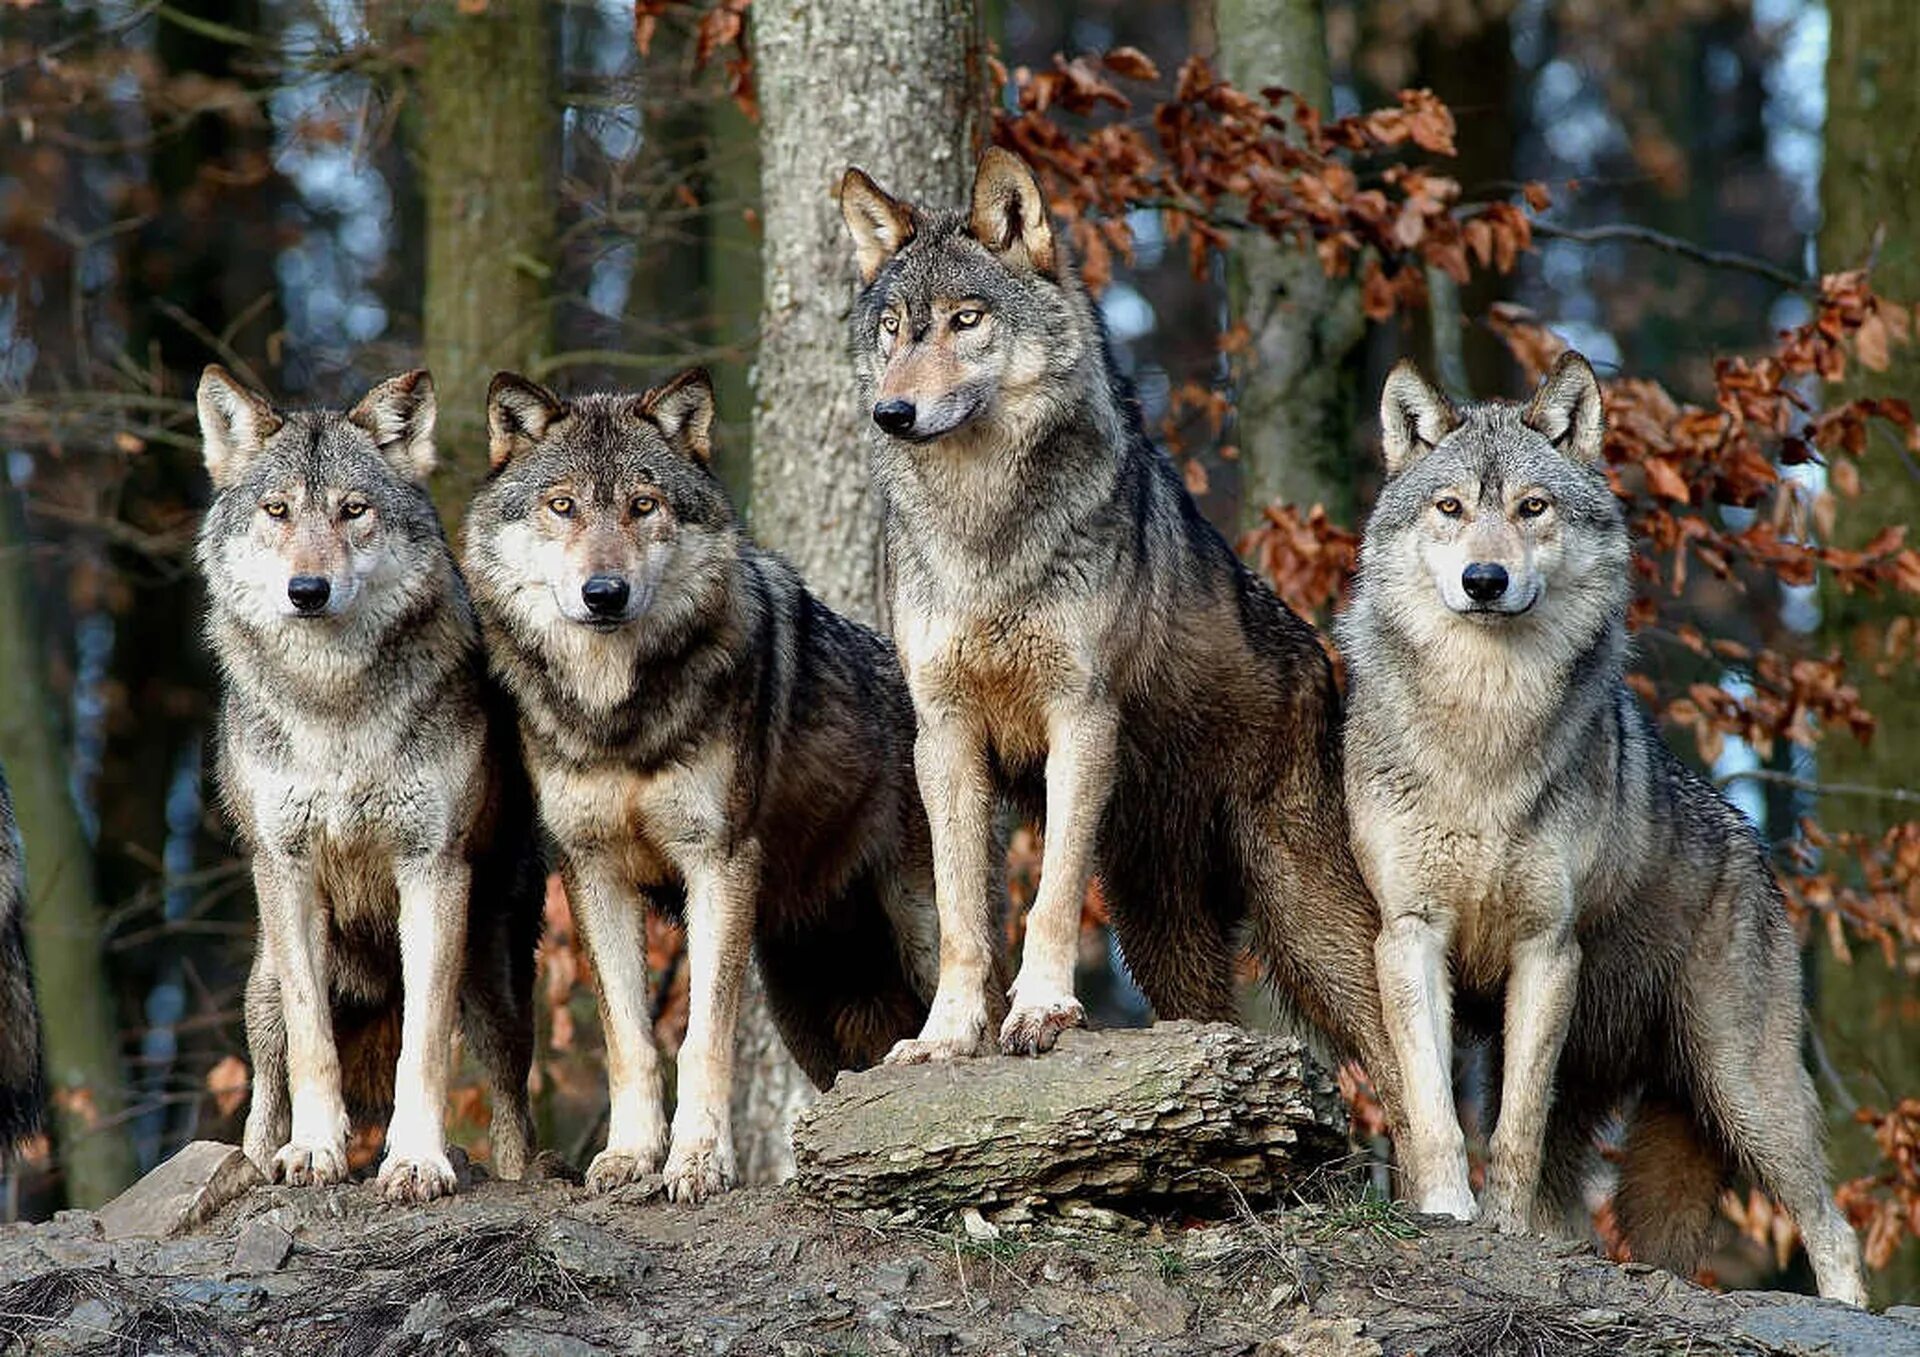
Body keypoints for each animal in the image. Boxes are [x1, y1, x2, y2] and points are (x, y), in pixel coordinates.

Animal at [199, 366, 545, 1205]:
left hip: (495, 978)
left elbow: (422, 1043)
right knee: (266, 1086)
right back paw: (259, 1161)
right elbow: (313, 1042)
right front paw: (315, 1152)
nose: (308, 589)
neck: (336, 707)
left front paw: (417, 1160)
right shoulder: (286, 868)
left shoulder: (432, 868)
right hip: (262, 976)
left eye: (353, 509)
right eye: (278, 510)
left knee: (511, 1098)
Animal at [840, 145, 1413, 1128]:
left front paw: (1037, 1012)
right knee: (1214, 1016)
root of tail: (1320, 660)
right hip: (1163, 927)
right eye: (894, 329)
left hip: (1305, 913)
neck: (986, 529)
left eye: (966, 320)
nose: (892, 414)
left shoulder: (1081, 716)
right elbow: (961, 913)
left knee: (1399, 1068)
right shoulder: (943, 732)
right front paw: (947, 1036)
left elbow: (1049, 897)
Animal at [1344, 353, 1866, 1305]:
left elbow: (1511, 1131)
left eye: (1531, 507)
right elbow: (1435, 1107)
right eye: (1451, 508)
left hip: (1743, 1087)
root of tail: (1750, 840)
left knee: (1832, 1224)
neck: (1485, 725)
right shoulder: (1409, 933)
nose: (1484, 579)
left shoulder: (1546, 946)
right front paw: (1446, 1209)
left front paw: (1503, 1228)